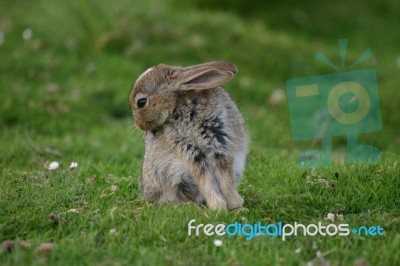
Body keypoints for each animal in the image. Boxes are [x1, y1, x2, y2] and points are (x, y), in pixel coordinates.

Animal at [129, 60, 247, 210]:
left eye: (141, 102)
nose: (140, 125)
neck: (178, 105)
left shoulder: (219, 143)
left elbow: (222, 176)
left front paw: (232, 204)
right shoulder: (190, 149)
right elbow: (205, 177)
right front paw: (221, 205)